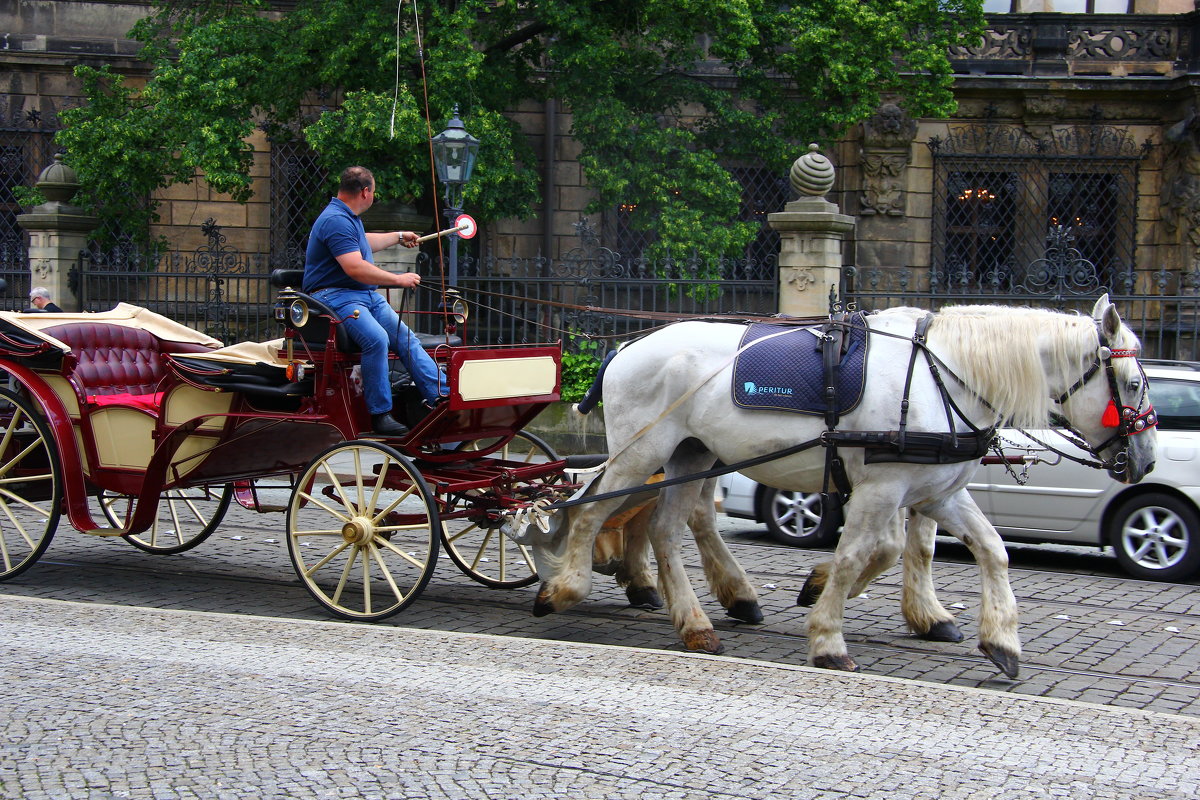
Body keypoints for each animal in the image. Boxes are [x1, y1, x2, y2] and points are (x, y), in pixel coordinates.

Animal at [528, 297, 1161, 681]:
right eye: (1133, 383)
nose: (1147, 460)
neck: (941, 377)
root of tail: (626, 348)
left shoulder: (937, 492)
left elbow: (990, 550)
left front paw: (1001, 639)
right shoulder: (882, 488)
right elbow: (866, 552)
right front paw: (828, 633)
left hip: (692, 454)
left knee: (666, 528)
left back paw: (697, 620)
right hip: (641, 454)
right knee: (589, 512)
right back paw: (565, 589)